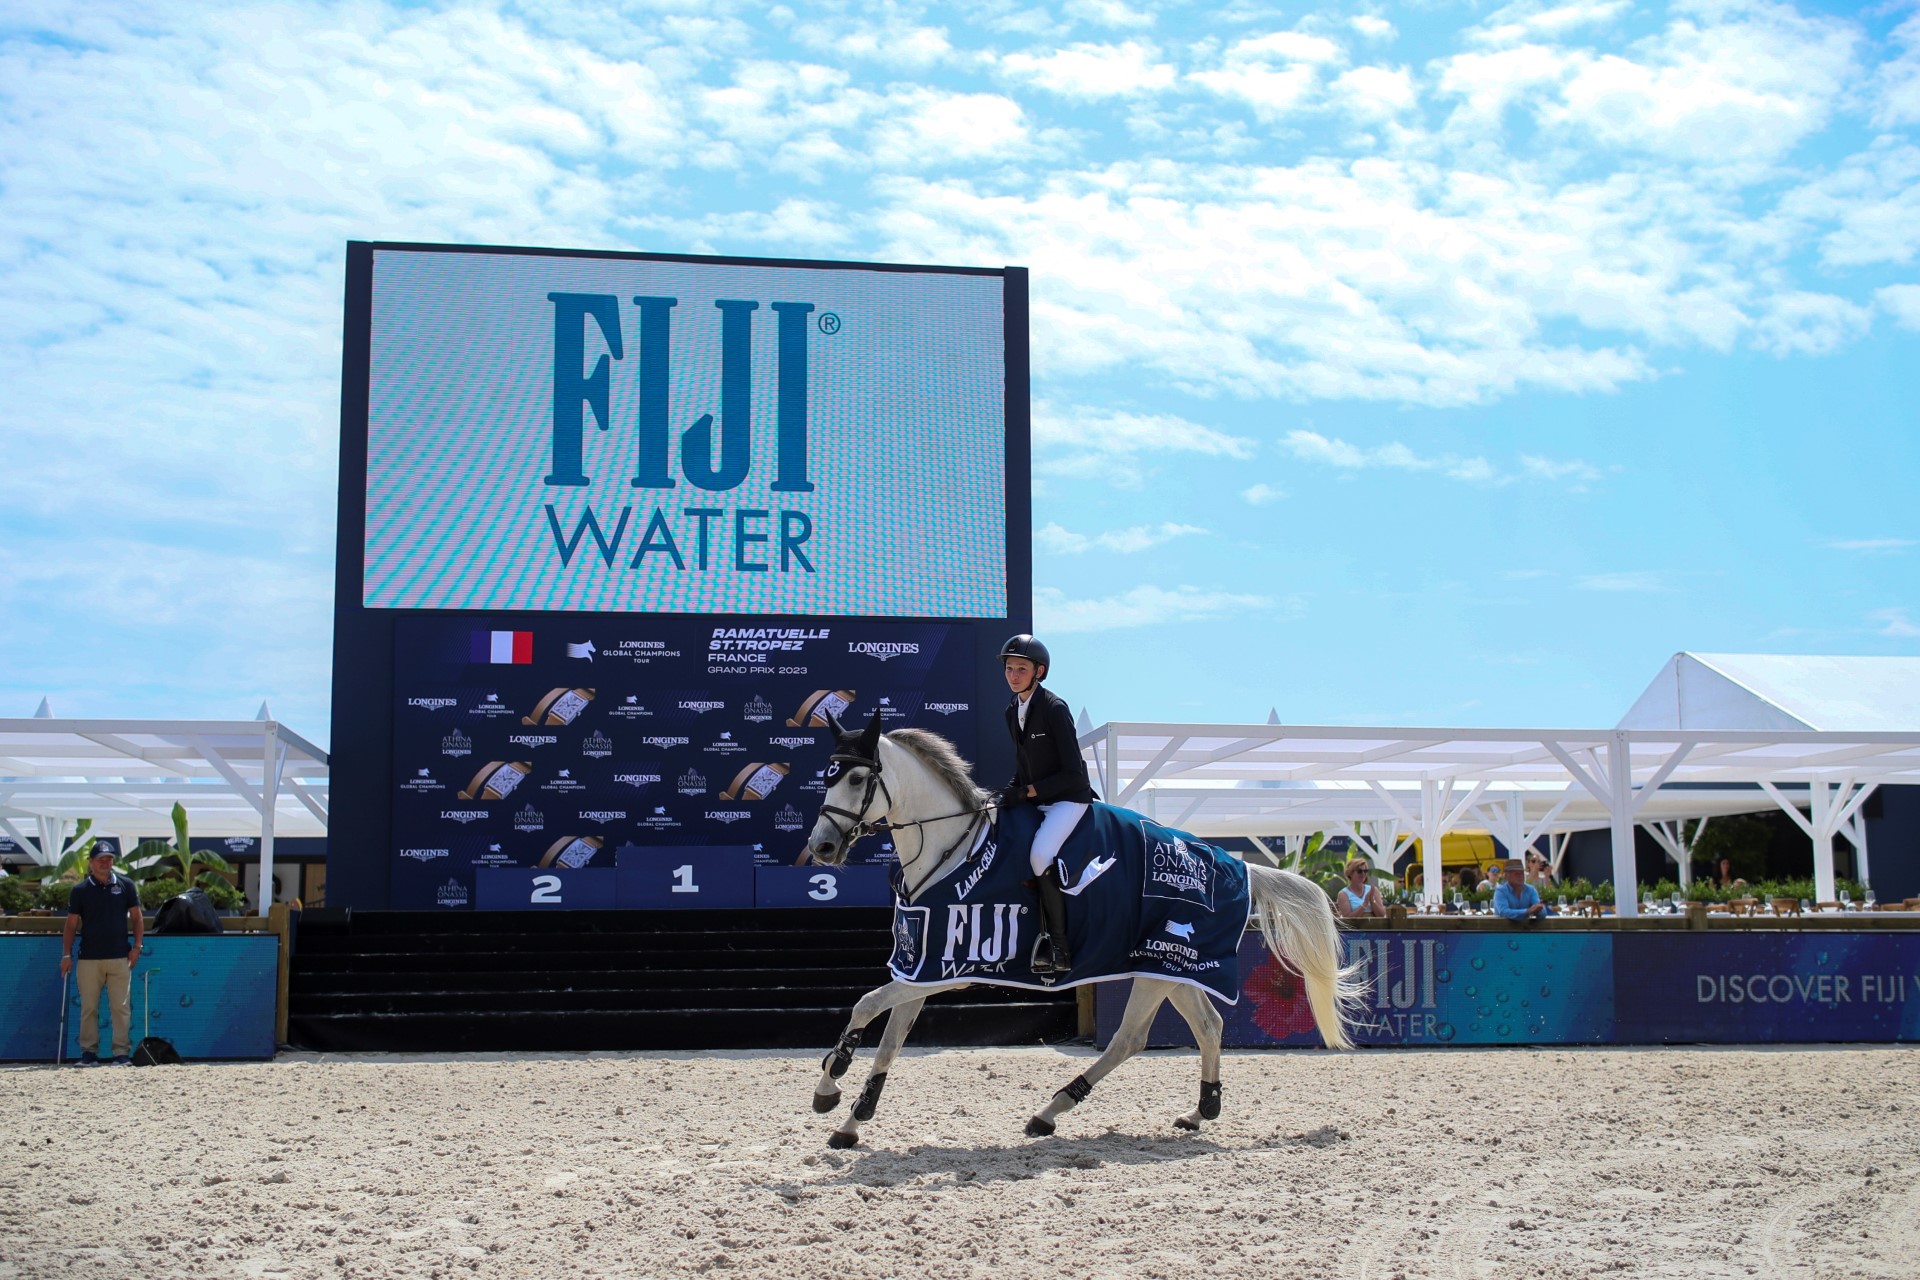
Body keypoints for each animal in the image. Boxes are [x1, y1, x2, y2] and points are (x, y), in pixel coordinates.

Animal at [802, 710, 1359, 1151]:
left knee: (1129, 1039)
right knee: (1207, 1026)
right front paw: (851, 1119)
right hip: (1175, 968)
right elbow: (889, 1036)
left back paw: (1050, 1111)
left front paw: (831, 1085)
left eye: (857, 779)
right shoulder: (921, 968)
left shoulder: (946, 967)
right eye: (827, 777)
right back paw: (1201, 1111)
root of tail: (1230, 861)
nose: (822, 848)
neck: (949, 846)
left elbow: (866, 1006)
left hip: (1159, 965)